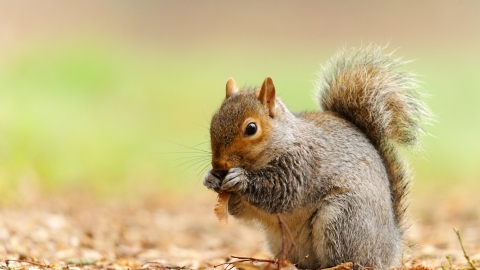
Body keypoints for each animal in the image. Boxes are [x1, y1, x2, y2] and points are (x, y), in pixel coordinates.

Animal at [202, 45, 432, 268]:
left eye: (251, 128)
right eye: (213, 121)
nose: (218, 164)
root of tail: (391, 248)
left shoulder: (302, 165)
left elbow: (281, 192)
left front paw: (240, 179)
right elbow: (240, 209)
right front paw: (211, 178)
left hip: (343, 219)